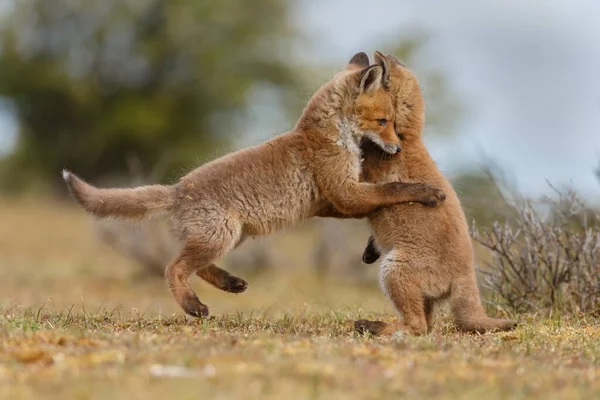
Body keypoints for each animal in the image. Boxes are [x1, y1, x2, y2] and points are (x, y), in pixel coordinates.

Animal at [62, 51, 446, 318]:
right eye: (383, 121)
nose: (398, 148)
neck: (328, 136)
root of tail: (177, 189)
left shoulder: (331, 202)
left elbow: (375, 205)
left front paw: (371, 248)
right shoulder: (344, 194)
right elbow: (392, 191)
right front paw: (428, 192)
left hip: (230, 236)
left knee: (195, 265)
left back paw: (229, 283)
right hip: (221, 236)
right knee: (174, 267)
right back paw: (193, 306)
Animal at [324, 52, 516, 334]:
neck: (407, 139)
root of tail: (467, 275)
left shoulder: (357, 182)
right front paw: (369, 250)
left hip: (393, 271)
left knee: (417, 327)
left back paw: (374, 326)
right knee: (427, 325)